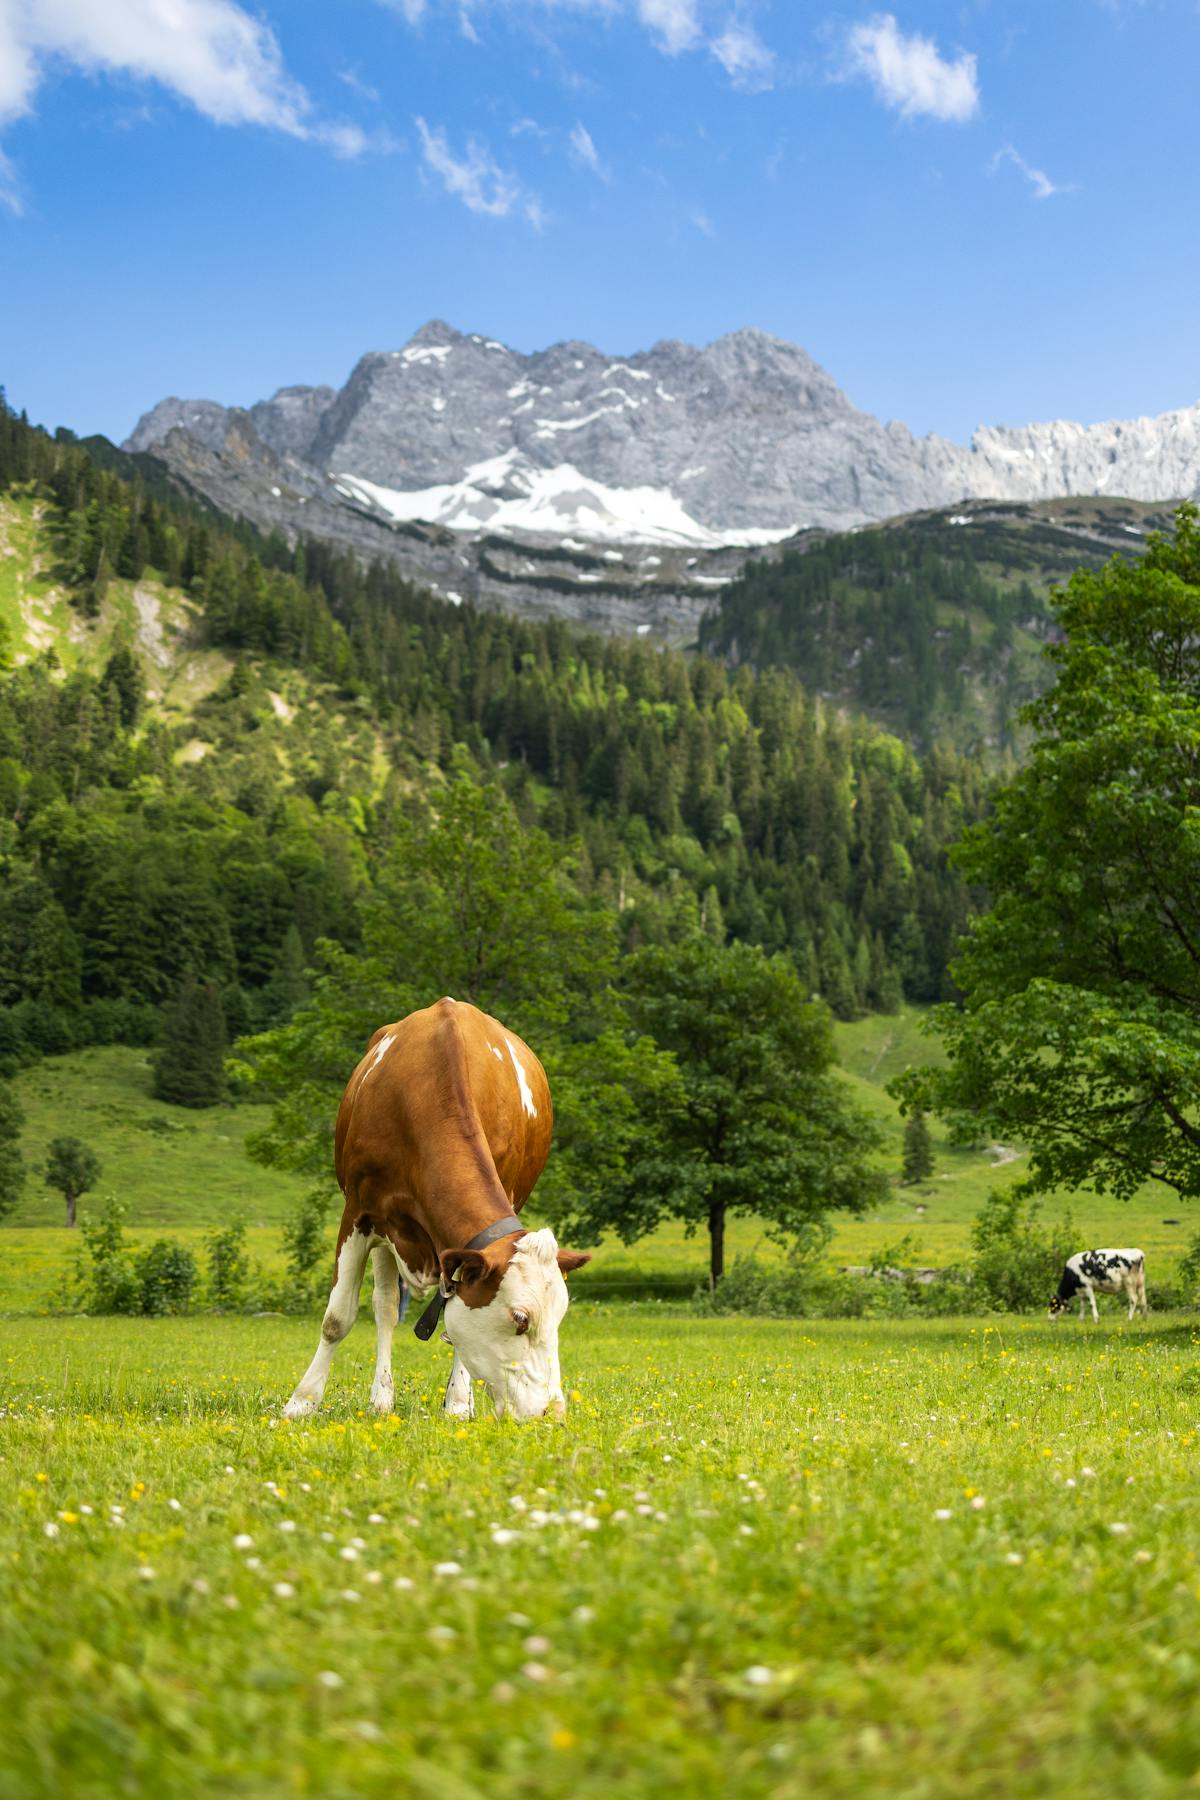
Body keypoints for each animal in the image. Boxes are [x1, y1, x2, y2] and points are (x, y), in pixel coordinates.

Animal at [282, 997, 590, 1423]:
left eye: (560, 1316)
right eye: (520, 1319)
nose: (552, 1411)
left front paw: (458, 1402)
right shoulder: (358, 1213)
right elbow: (337, 1318)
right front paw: (302, 1401)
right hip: (385, 1238)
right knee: (385, 1307)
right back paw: (381, 1397)